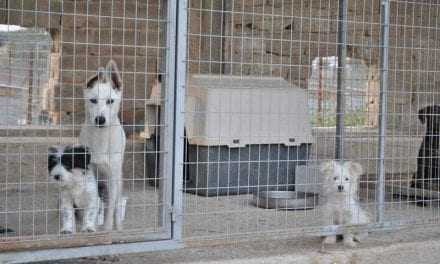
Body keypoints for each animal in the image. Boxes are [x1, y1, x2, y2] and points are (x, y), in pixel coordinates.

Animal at [80, 60, 125, 231]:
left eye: (110, 101)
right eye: (93, 100)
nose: (100, 119)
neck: (100, 138)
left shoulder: (112, 176)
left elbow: (110, 208)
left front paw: (107, 229)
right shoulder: (89, 172)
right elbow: (92, 202)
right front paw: (89, 225)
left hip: (118, 180)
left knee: (116, 205)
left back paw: (118, 226)